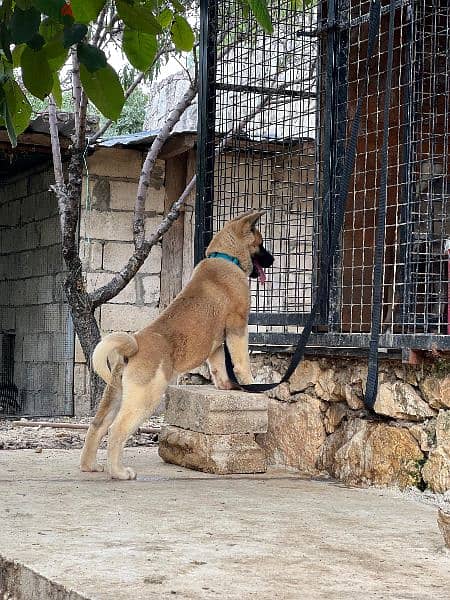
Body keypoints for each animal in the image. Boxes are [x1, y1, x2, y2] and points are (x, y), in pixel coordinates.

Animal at [81, 211, 274, 478]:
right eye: (260, 243)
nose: (273, 260)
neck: (225, 257)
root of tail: (134, 345)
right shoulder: (237, 326)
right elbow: (241, 361)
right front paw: (250, 385)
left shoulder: (216, 343)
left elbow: (218, 367)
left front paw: (226, 386)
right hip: (144, 398)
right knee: (116, 430)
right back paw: (119, 472)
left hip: (116, 394)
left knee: (98, 425)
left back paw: (89, 466)